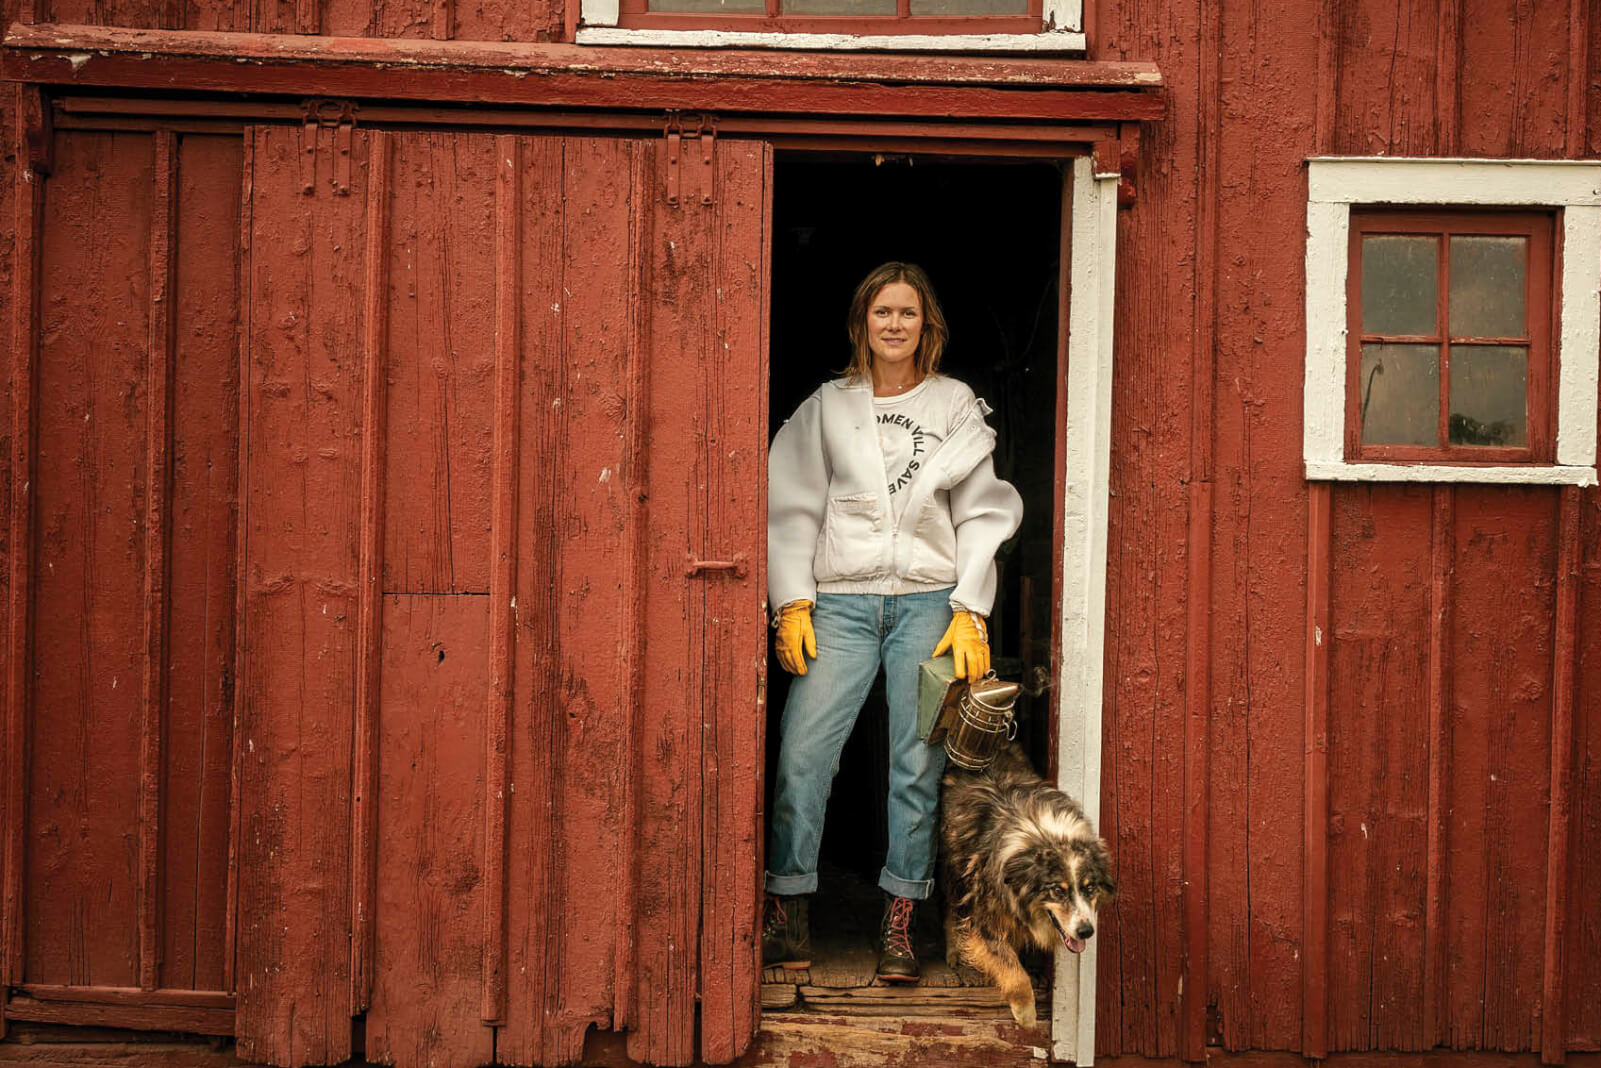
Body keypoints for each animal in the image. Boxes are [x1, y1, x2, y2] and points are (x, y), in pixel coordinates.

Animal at [934, 742, 1114, 1024]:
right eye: (1057, 891)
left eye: (1090, 888)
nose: (1086, 931)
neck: (1045, 837)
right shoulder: (984, 915)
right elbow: (1011, 968)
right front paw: (1026, 1015)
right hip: (952, 869)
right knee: (950, 908)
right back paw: (954, 950)